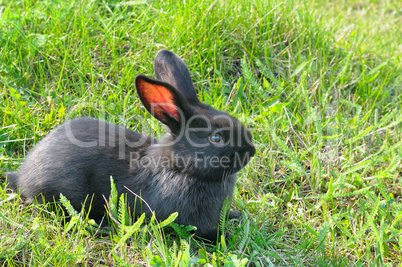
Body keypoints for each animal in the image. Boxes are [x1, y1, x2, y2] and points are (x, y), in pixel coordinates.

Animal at [6, 49, 256, 241]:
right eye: (216, 138)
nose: (251, 151)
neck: (180, 168)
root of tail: (23, 176)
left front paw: (234, 215)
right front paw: (225, 235)